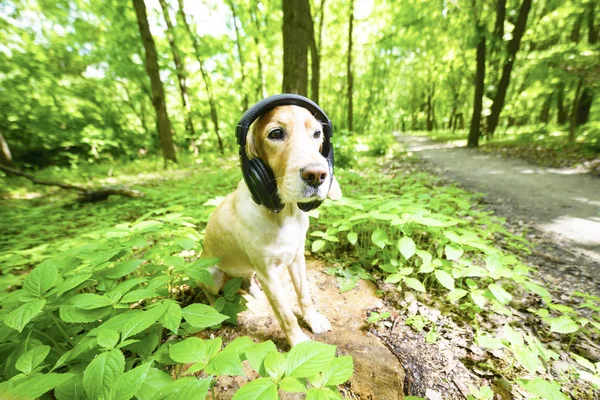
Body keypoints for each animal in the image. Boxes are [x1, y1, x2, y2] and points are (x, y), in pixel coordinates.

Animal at [203, 97, 340, 346]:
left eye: (317, 133)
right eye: (276, 133)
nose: (317, 175)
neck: (285, 213)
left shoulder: (297, 259)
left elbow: (304, 296)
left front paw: (313, 320)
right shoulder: (269, 274)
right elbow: (285, 314)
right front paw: (299, 343)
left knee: (247, 279)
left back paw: (255, 294)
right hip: (212, 274)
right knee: (209, 292)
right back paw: (215, 311)